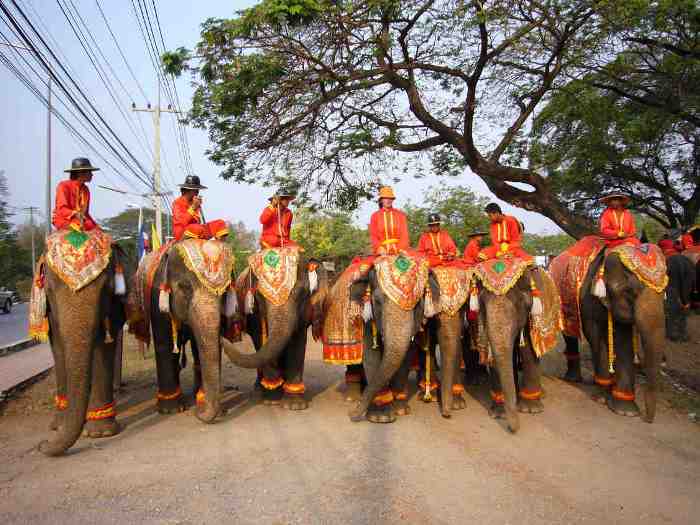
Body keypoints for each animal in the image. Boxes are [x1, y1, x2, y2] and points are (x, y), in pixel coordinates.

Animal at [220, 250, 330, 410]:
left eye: (302, 293)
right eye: (259, 295)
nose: (221, 340)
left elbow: (297, 341)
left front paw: (294, 405)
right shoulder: (255, 313)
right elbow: (261, 339)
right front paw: (272, 400)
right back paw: (260, 390)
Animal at [560, 250, 664, 422]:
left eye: (665, 294)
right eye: (630, 292)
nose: (648, 420)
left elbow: (624, 341)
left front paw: (626, 411)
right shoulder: (588, 297)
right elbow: (595, 336)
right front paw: (602, 399)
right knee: (570, 333)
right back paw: (574, 379)